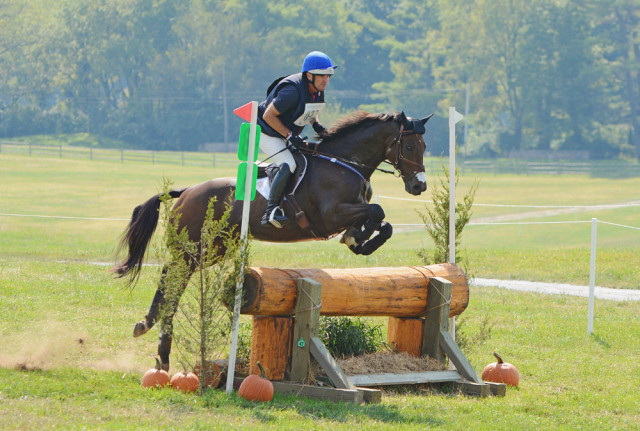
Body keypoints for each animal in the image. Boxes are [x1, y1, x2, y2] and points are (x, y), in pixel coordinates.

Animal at [112, 109, 432, 370]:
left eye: (424, 146)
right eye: (409, 145)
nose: (419, 186)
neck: (342, 164)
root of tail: (187, 190)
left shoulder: (352, 211)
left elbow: (383, 223)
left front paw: (359, 239)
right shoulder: (330, 215)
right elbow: (377, 211)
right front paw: (357, 239)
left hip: (215, 249)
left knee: (174, 275)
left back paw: (153, 335)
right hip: (194, 248)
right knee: (172, 278)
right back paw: (156, 338)